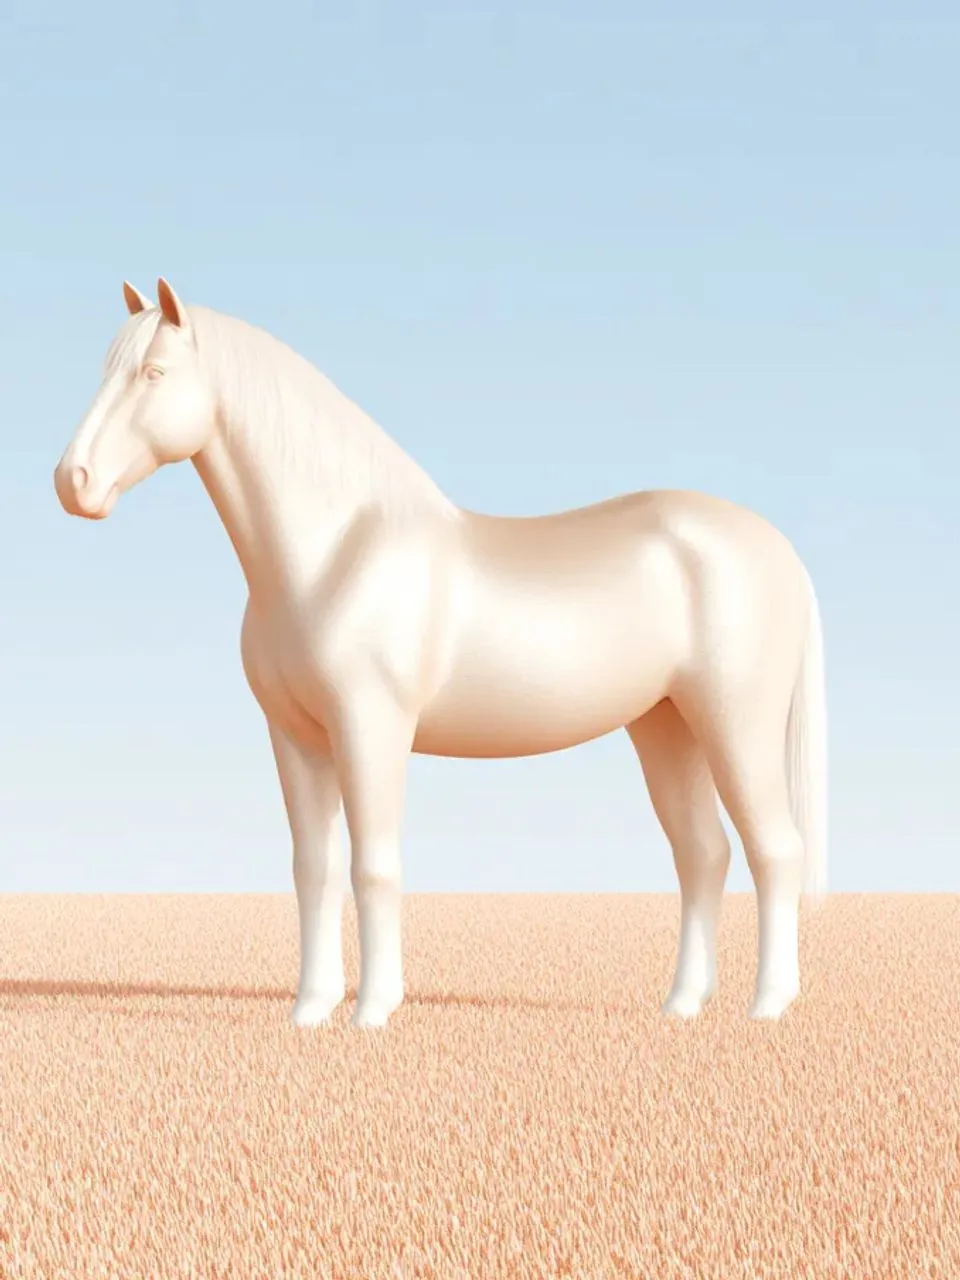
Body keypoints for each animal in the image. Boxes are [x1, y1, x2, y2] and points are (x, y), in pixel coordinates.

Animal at [54, 278, 827, 1030]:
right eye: (106, 371)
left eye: (154, 373)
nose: (73, 482)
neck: (336, 552)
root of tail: (779, 549)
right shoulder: (295, 737)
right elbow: (314, 869)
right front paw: (309, 1011)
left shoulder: (371, 729)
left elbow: (373, 867)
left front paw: (372, 1011)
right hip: (667, 726)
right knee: (703, 855)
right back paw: (682, 1006)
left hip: (735, 723)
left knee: (774, 850)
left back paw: (768, 1006)